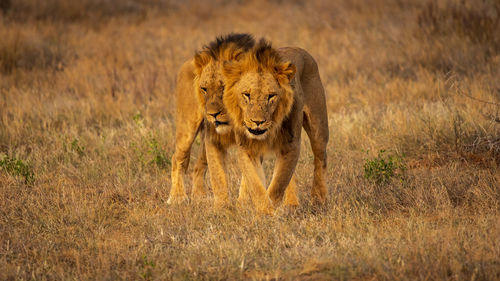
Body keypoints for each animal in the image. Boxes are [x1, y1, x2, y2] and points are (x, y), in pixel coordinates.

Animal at [167, 32, 254, 205]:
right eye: (204, 89)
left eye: (224, 87)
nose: (212, 114)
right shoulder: (213, 139)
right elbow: (219, 176)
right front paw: (224, 206)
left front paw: (244, 202)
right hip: (187, 128)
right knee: (177, 158)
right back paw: (177, 197)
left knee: (198, 165)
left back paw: (200, 196)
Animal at [221, 39, 330, 212]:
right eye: (247, 94)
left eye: (271, 96)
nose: (257, 122)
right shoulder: (247, 148)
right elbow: (255, 184)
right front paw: (263, 210)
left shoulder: (291, 144)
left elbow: (278, 184)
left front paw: (269, 211)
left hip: (318, 126)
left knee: (320, 158)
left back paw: (318, 199)